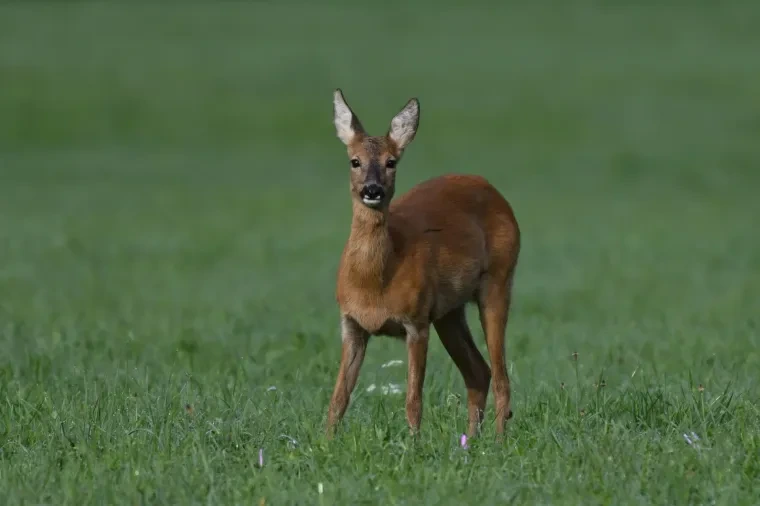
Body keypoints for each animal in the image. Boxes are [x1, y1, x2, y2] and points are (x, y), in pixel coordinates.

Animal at [325, 89, 521, 440]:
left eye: (391, 162)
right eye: (354, 161)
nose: (372, 190)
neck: (375, 282)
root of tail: (495, 192)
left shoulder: (415, 322)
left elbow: (413, 400)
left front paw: (413, 445)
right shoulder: (352, 324)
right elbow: (338, 399)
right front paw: (325, 443)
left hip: (498, 281)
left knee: (501, 377)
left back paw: (498, 441)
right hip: (449, 312)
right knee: (478, 372)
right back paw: (471, 440)